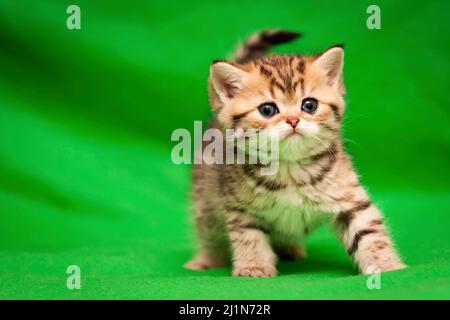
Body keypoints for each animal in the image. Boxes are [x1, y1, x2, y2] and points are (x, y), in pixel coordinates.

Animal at [185, 28, 406, 276]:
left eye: (309, 105)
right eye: (267, 109)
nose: (293, 120)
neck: (290, 169)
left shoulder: (350, 198)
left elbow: (369, 232)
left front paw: (387, 266)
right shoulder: (240, 208)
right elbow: (250, 238)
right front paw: (254, 267)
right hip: (205, 201)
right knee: (209, 232)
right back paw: (206, 259)